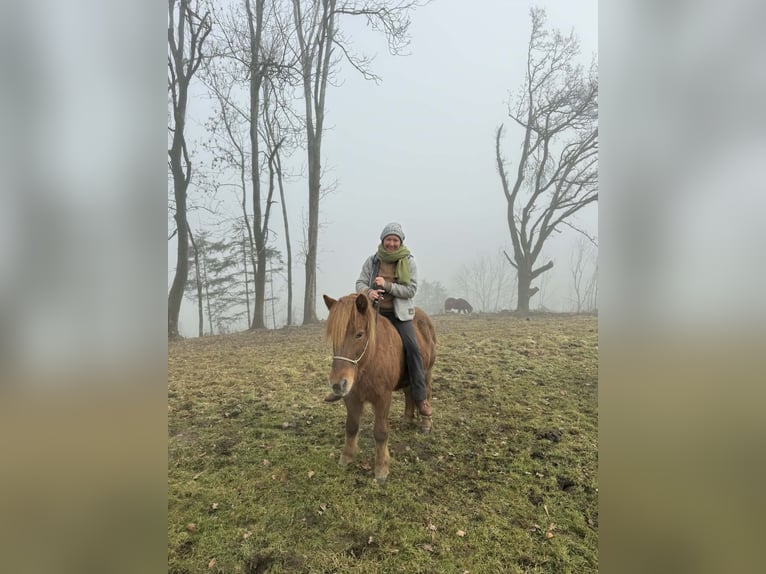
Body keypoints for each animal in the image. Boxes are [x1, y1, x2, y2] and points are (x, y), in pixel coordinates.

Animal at [323, 293, 437, 483]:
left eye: (359, 334)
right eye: (334, 337)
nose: (337, 384)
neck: (369, 360)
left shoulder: (383, 398)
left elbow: (380, 432)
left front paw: (381, 468)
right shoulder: (352, 396)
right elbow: (351, 426)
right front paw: (347, 456)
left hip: (426, 372)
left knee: (425, 393)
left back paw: (426, 422)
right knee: (408, 393)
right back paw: (407, 419)